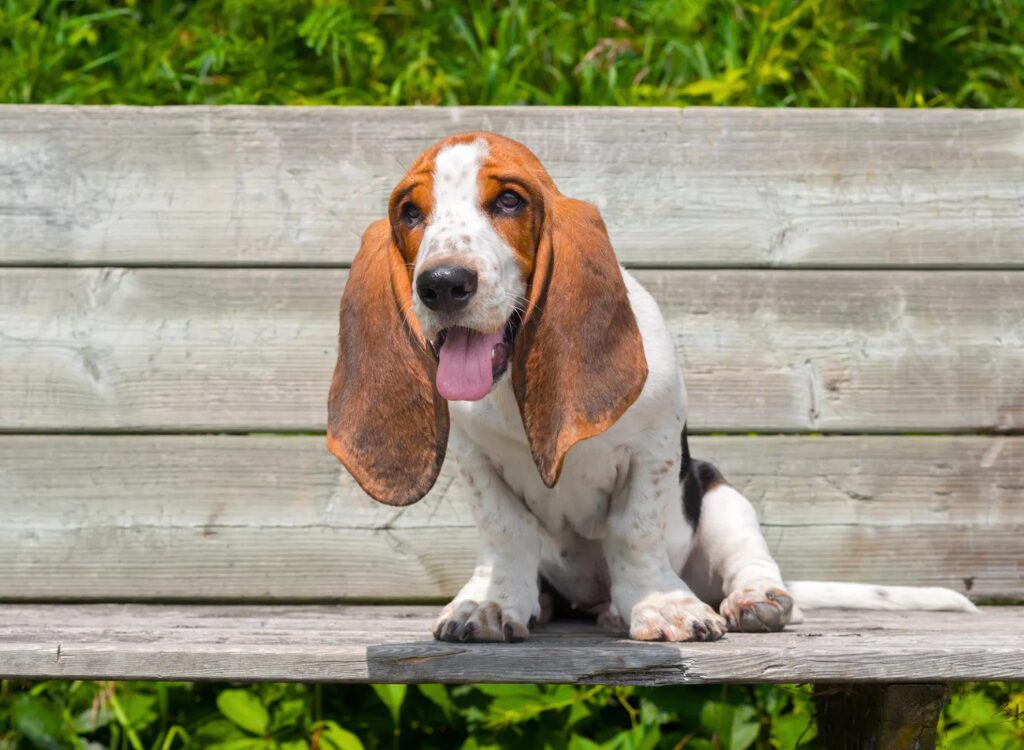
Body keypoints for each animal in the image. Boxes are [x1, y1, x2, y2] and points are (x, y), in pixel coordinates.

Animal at [325, 132, 974, 643]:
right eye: (411, 213)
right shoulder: (477, 462)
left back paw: (751, 601)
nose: (442, 284)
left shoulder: (655, 448)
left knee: (752, 563)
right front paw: (492, 604)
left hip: (722, 498)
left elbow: (633, 531)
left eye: (509, 200)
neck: (511, 382)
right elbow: (506, 533)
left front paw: (660, 607)